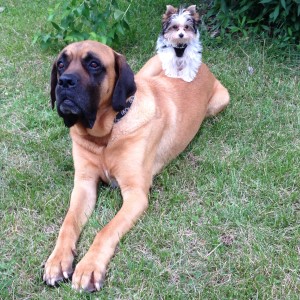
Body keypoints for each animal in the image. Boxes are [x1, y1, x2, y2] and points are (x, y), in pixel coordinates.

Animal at [43, 39, 229, 290]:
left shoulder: (135, 195)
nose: (64, 81)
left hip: (220, 101)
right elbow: (68, 223)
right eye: (61, 64)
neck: (105, 136)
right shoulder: (84, 184)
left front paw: (89, 267)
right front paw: (57, 260)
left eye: (94, 64)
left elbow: (106, 230)